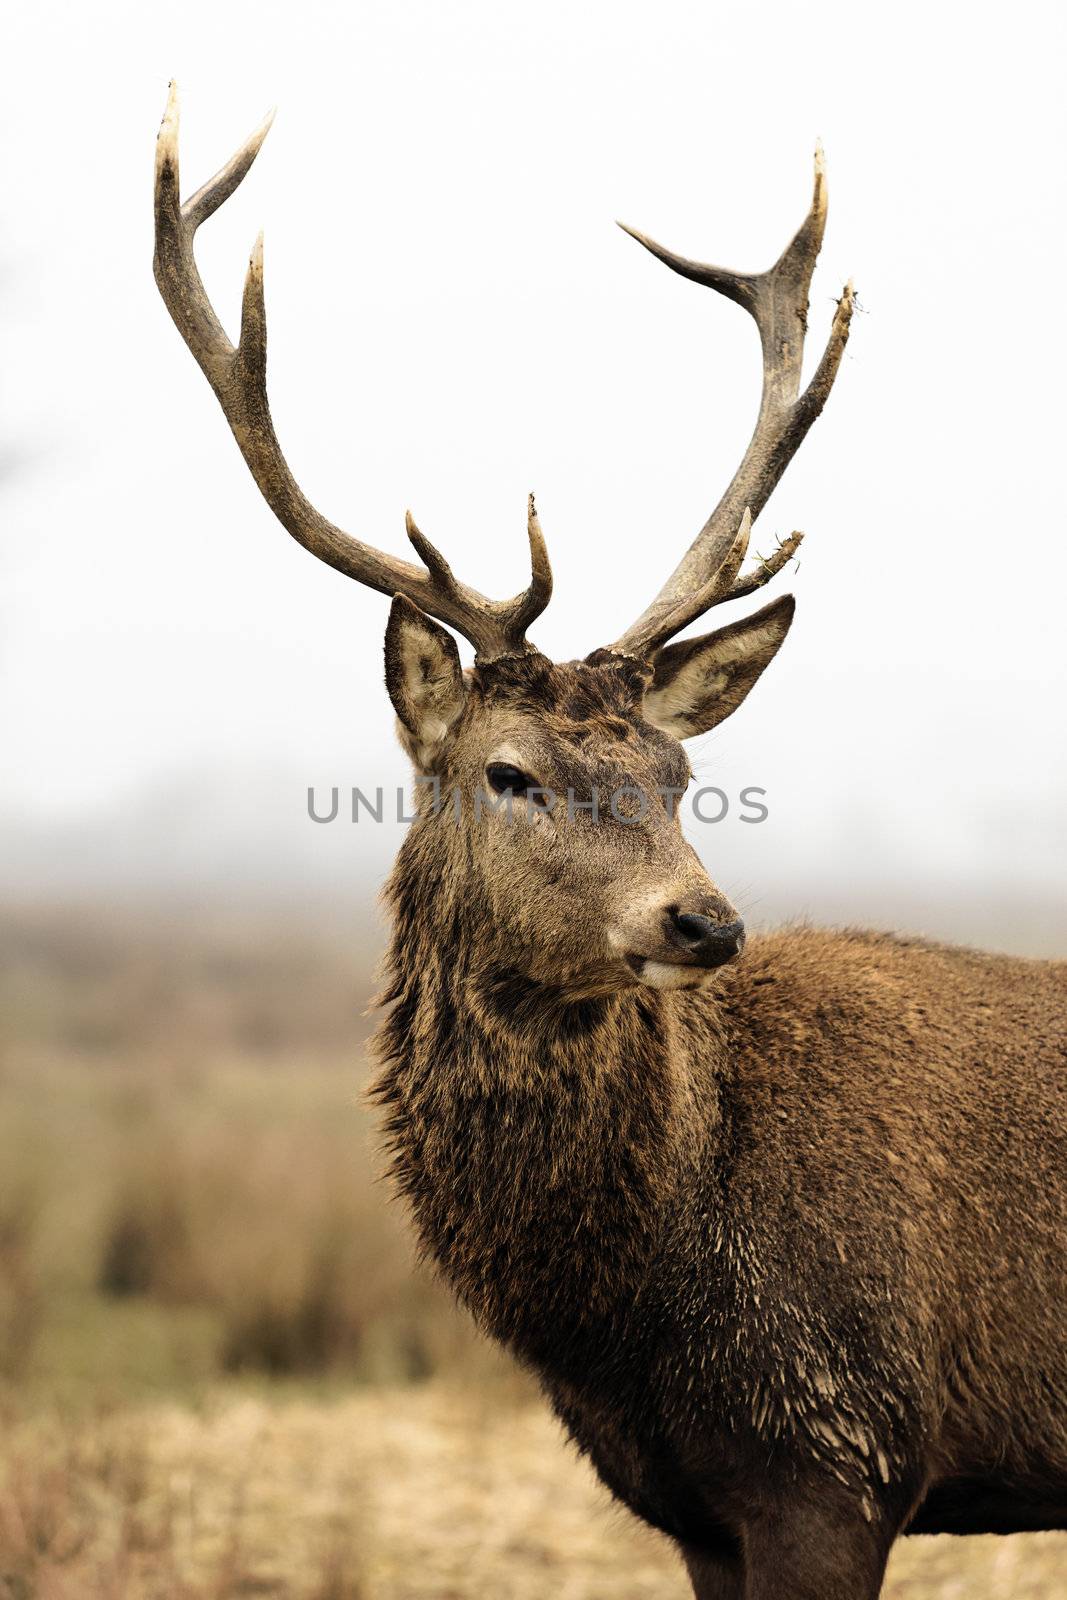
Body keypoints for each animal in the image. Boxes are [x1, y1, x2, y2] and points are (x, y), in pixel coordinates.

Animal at [151, 87, 1067, 1600]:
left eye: (678, 771)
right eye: (508, 773)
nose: (702, 920)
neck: (629, 1323)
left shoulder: (840, 1453)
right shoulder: (693, 1505)